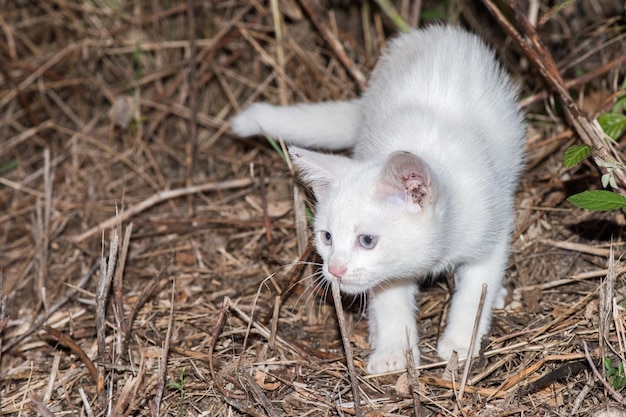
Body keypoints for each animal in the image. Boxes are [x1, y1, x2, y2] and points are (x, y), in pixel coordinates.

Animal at [229, 25, 520, 374]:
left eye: (367, 240)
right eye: (326, 237)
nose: (335, 269)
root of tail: (436, 32)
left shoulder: (492, 228)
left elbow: (477, 288)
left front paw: (461, 342)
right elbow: (390, 302)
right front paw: (394, 351)